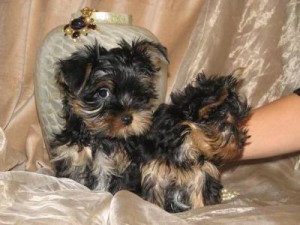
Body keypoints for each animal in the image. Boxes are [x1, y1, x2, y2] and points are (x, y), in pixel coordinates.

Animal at [51, 38, 169, 193]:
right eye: (103, 92)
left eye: (138, 94)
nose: (128, 118)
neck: (103, 138)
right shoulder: (73, 158)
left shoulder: (127, 167)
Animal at [141, 74, 251, 213]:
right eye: (223, 125)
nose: (241, 145)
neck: (187, 147)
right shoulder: (154, 172)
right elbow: (153, 200)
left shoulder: (204, 173)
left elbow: (201, 199)